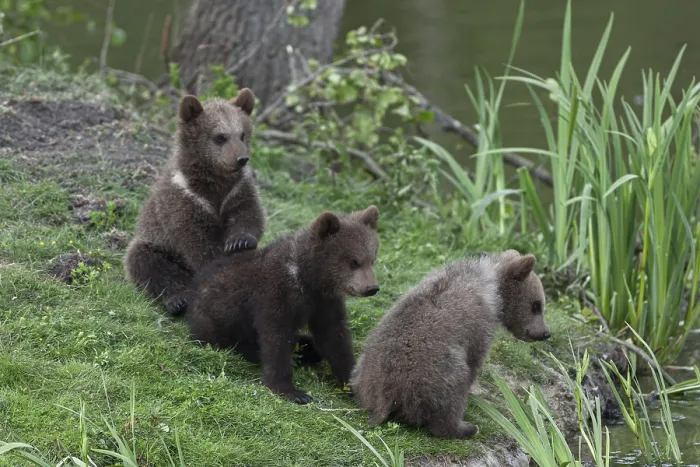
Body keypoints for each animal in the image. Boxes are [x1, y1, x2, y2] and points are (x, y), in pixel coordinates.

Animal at [124, 89, 264, 316]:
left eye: (242, 134)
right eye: (220, 137)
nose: (241, 158)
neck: (212, 184)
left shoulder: (237, 190)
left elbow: (248, 214)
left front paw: (240, 241)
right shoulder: (184, 200)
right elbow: (197, 242)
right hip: (155, 244)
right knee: (147, 262)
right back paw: (179, 300)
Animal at [186, 205, 381, 404]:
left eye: (372, 259)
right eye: (353, 261)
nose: (372, 288)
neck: (308, 278)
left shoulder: (324, 303)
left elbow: (334, 337)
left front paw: (353, 382)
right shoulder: (276, 296)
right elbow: (276, 340)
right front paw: (291, 391)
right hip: (218, 321)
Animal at [349, 249, 551, 439]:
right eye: (536, 305)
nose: (545, 333)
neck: (494, 288)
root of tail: (383, 401)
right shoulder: (479, 324)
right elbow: (475, 358)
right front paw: (473, 390)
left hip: (365, 368)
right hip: (434, 374)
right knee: (451, 393)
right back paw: (465, 427)